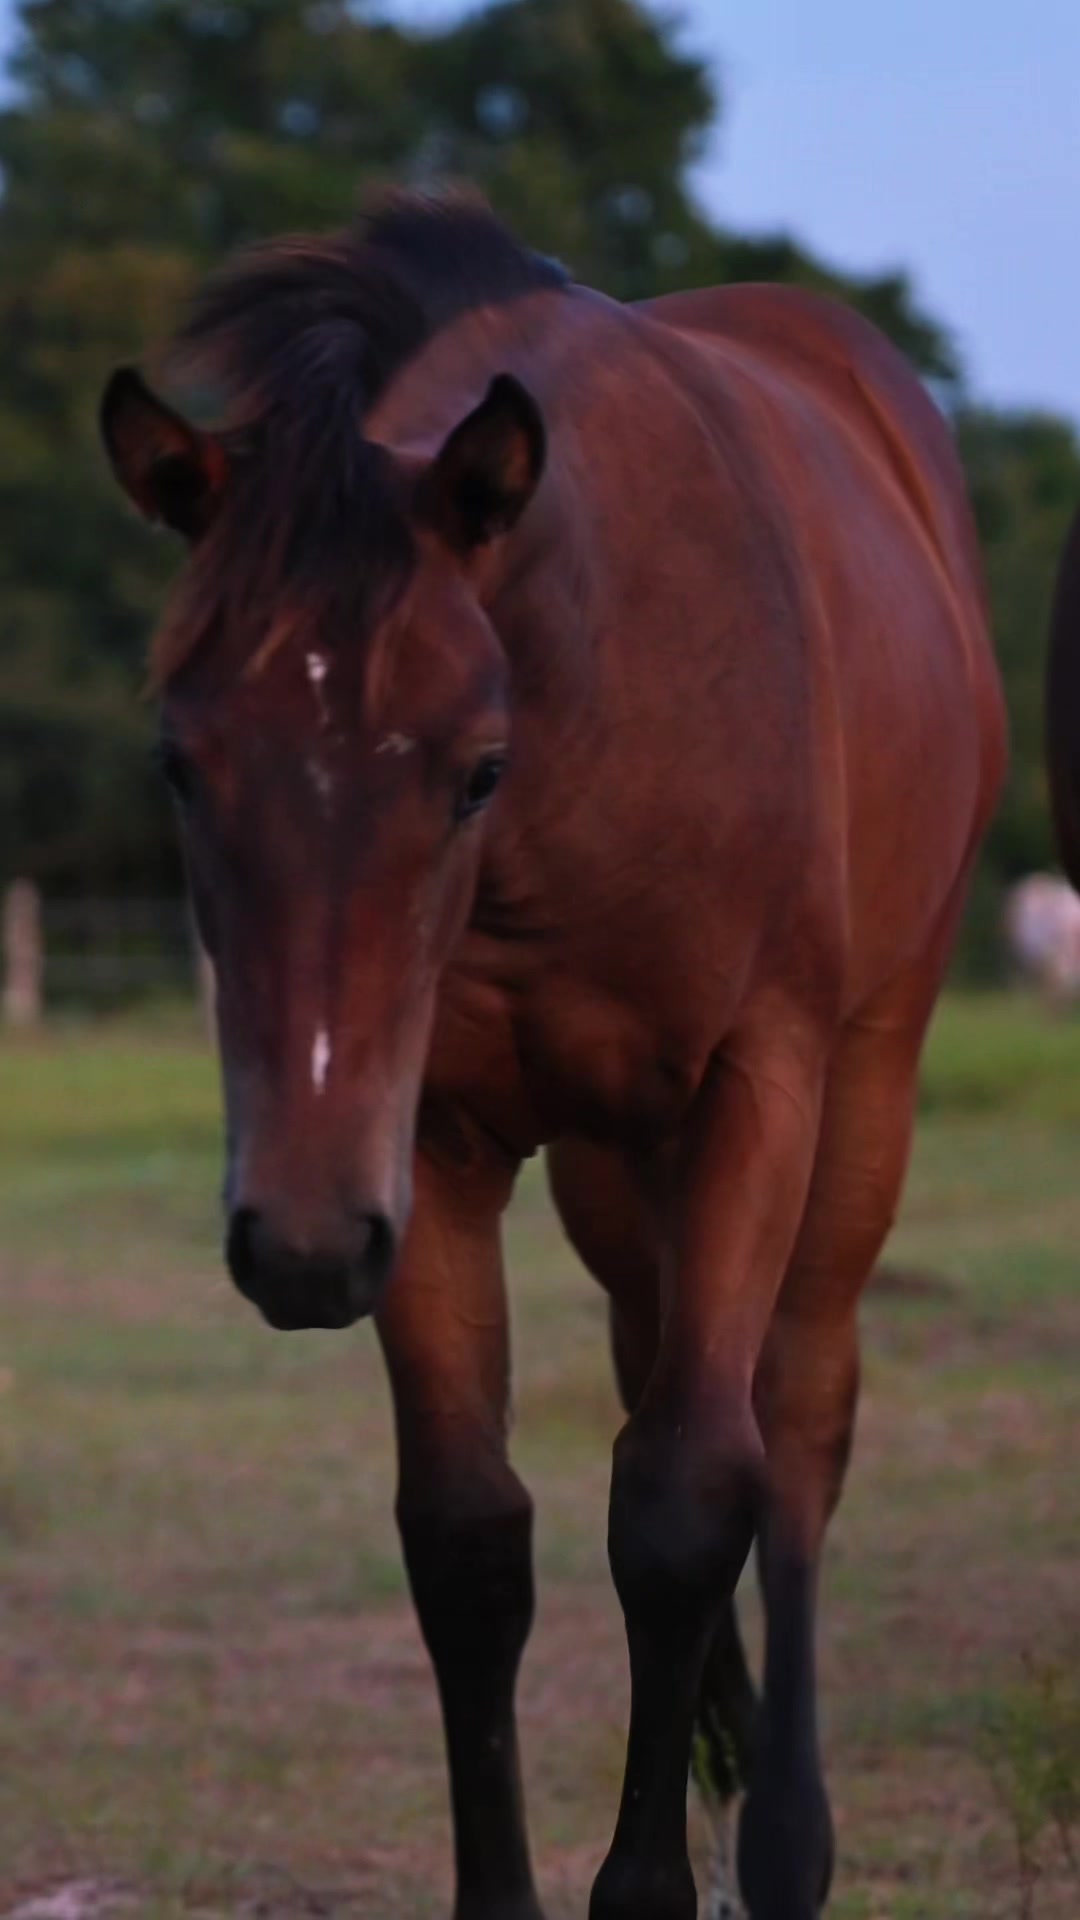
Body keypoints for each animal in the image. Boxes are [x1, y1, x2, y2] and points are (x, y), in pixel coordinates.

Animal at [100, 191, 1006, 1920]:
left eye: (476, 768)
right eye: (181, 762)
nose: (297, 1249)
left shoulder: (757, 1086)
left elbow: (683, 1496)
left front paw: (667, 1876)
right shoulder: (425, 1145)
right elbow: (472, 1534)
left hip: (861, 1080)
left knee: (795, 1412)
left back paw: (783, 1830)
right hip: (602, 1156)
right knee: (668, 1363)